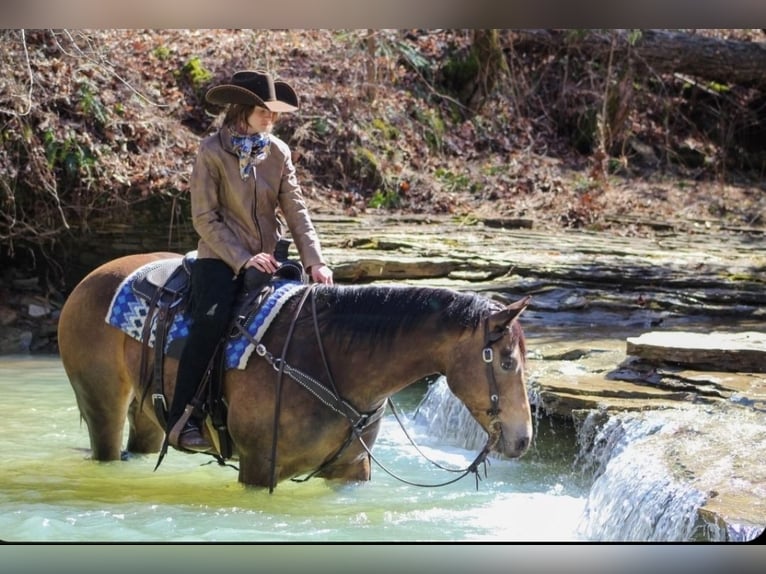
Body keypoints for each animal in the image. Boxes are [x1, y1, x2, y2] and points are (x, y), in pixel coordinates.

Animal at [57, 252, 533, 488]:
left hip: (149, 413)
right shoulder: (257, 467)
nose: (523, 440)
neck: (336, 363)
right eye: (507, 361)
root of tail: (89, 279)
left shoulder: (352, 470)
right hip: (102, 404)